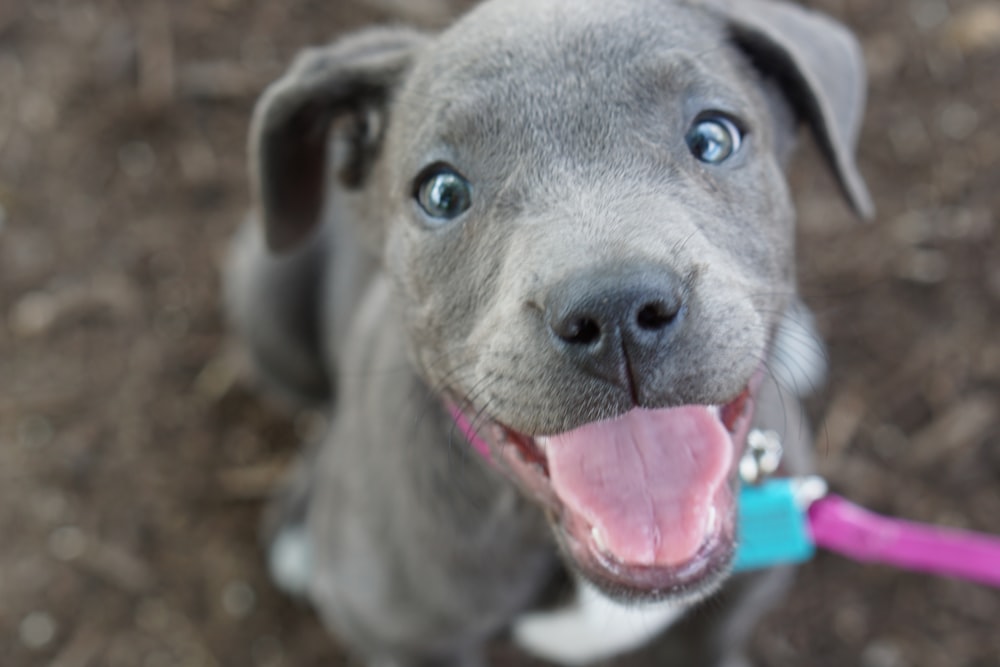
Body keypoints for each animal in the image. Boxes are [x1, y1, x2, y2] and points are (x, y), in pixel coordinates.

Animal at [225, 0, 868, 664]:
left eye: (713, 138)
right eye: (441, 192)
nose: (615, 308)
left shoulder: (720, 619)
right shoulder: (410, 641)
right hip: (265, 291)